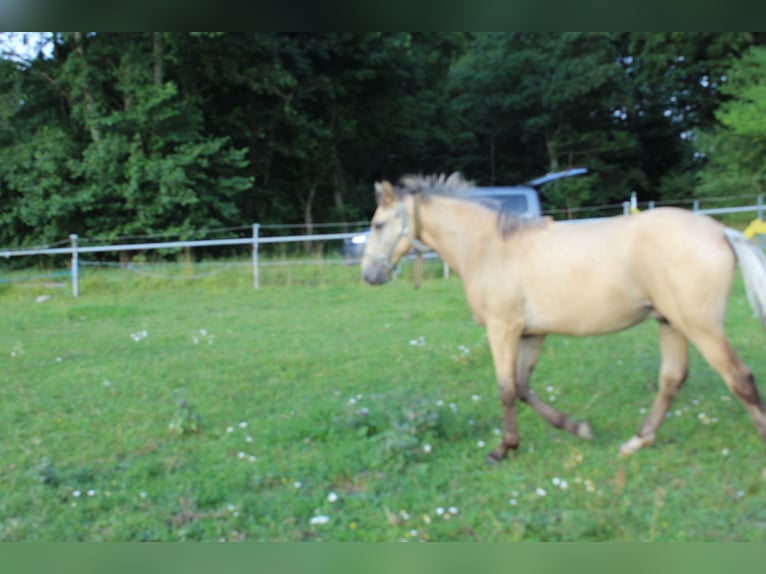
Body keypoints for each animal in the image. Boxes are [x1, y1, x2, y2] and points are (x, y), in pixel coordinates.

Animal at [362, 174, 766, 464]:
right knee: (671, 380)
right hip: (670, 323)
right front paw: (578, 428)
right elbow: (523, 388)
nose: (369, 275)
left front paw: (502, 449)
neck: (489, 247)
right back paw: (636, 441)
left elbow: (506, 388)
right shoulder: (531, 334)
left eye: (379, 225)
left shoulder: (502, 329)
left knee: (739, 378)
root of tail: (720, 231)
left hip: (700, 327)